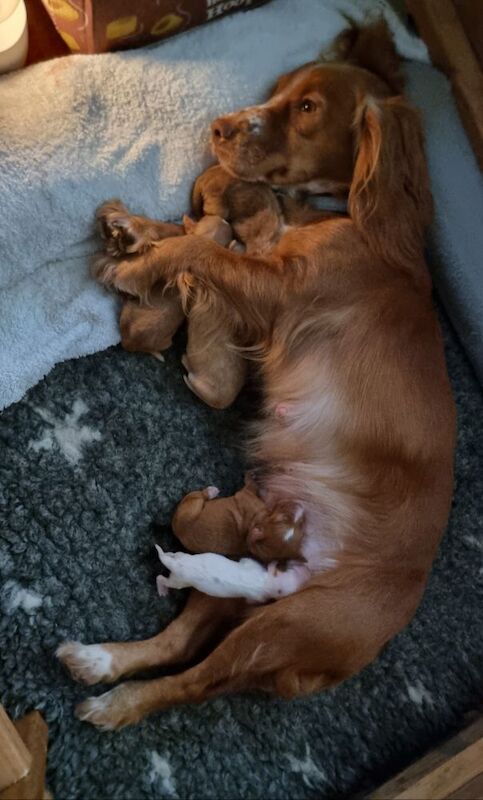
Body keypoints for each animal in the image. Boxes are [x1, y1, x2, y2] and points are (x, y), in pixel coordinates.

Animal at [57, 21, 458, 728]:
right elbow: (193, 233)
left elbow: (199, 246)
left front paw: (134, 264)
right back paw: (99, 662)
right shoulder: (262, 252)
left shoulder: (279, 288)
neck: (339, 213)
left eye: (308, 108)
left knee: (196, 681)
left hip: (289, 625)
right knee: (178, 640)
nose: (218, 128)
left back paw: (118, 705)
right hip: (239, 560)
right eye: (277, 90)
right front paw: (133, 228)